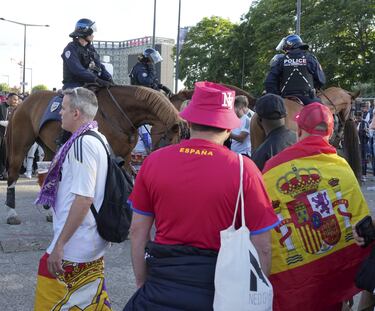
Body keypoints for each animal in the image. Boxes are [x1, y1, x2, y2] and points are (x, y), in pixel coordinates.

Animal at [5, 85, 181, 225]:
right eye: (169, 140)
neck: (120, 112)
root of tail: (22, 104)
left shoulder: (126, 156)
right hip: (20, 145)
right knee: (13, 173)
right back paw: (12, 213)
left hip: (48, 148)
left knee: (46, 174)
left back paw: (49, 211)